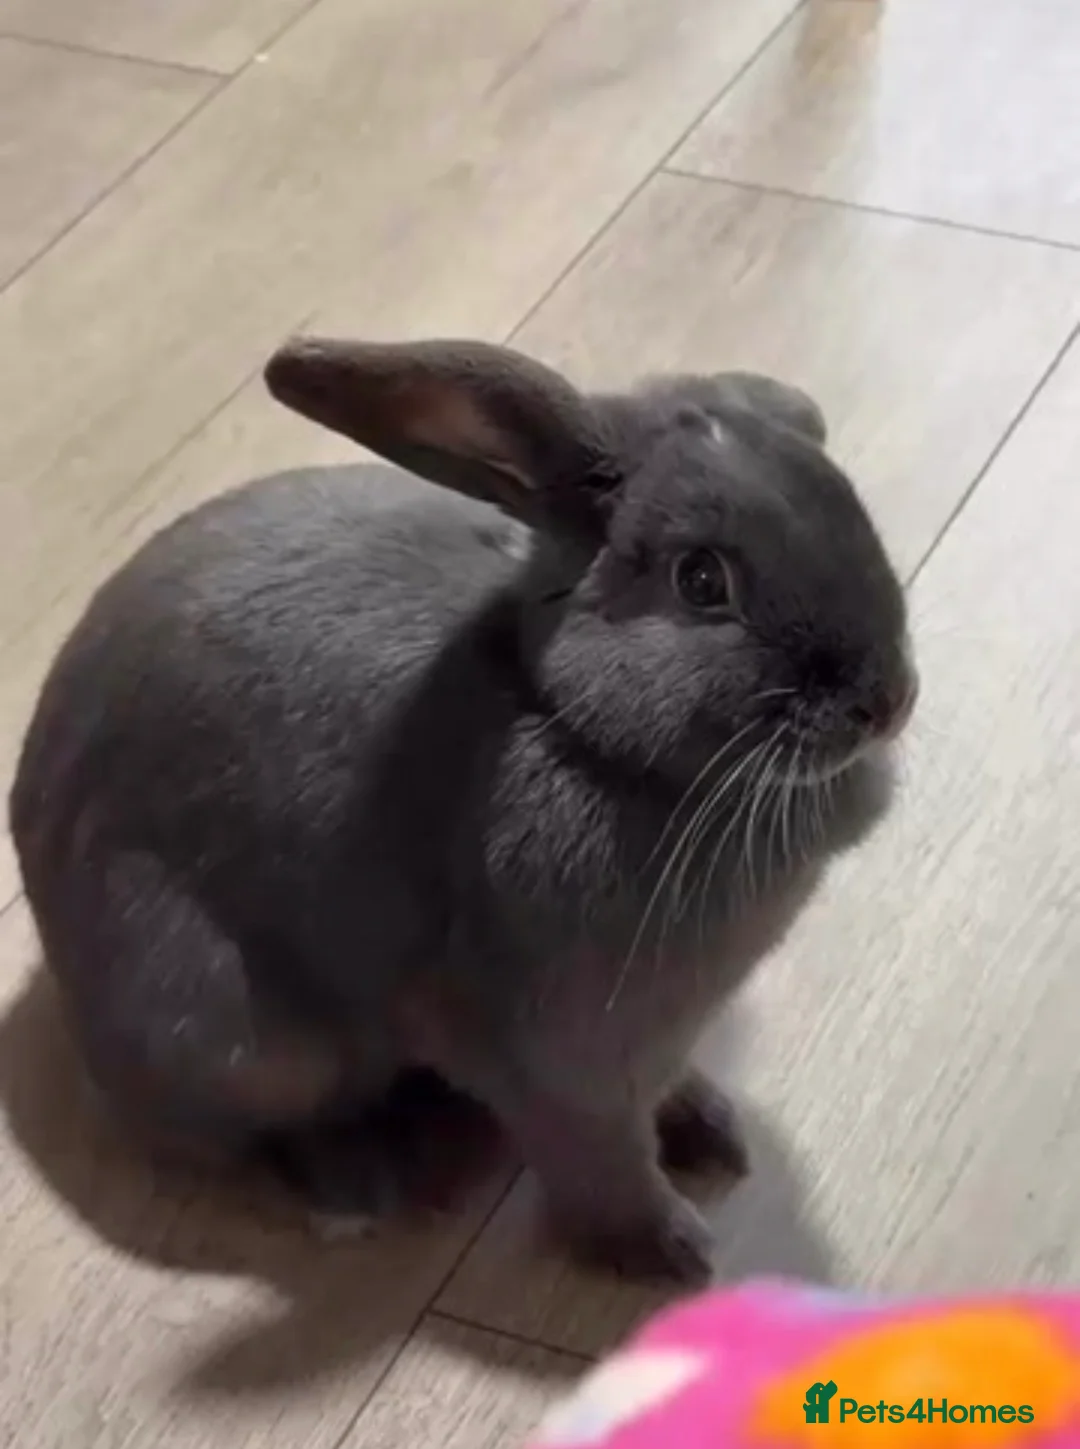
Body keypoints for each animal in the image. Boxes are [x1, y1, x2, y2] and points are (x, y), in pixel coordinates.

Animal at [9, 335, 917, 1283]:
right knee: (247, 1132)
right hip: (242, 1033)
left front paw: (714, 1126)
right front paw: (673, 1252)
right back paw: (356, 1186)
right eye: (702, 580)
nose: (886, 699)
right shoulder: (559, 1067)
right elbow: (604, 1166)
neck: (574, 725)